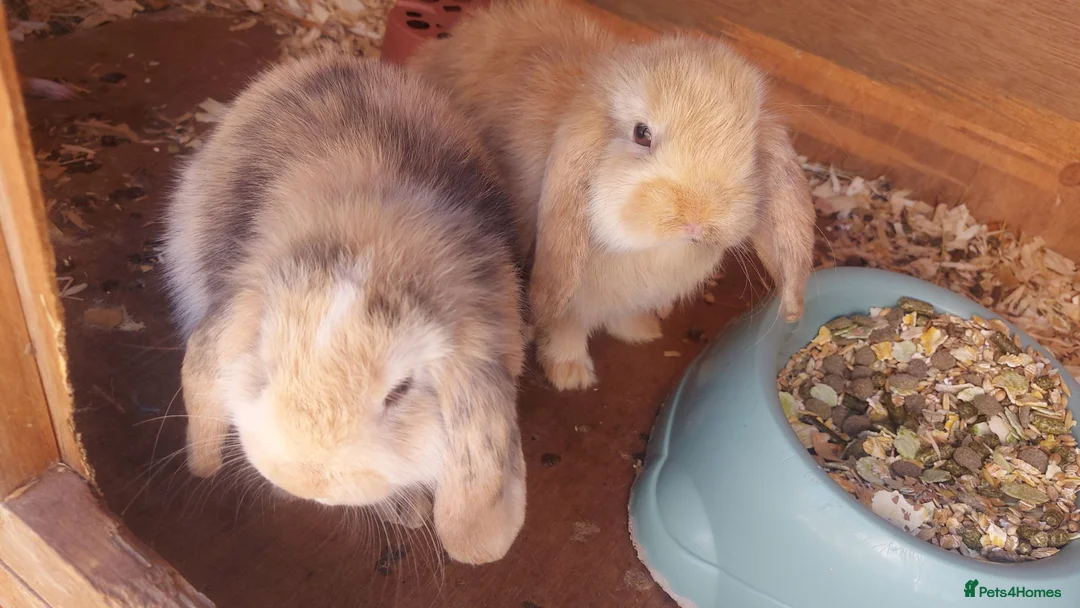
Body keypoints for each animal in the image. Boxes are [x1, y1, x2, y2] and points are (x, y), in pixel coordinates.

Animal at [408, 0, 815, 391]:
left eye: (748, 148)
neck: (651, 252)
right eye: (641, 133)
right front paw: (570, 374)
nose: (697, 217)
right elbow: (566, 330)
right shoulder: (573, 299)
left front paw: (640, 330)